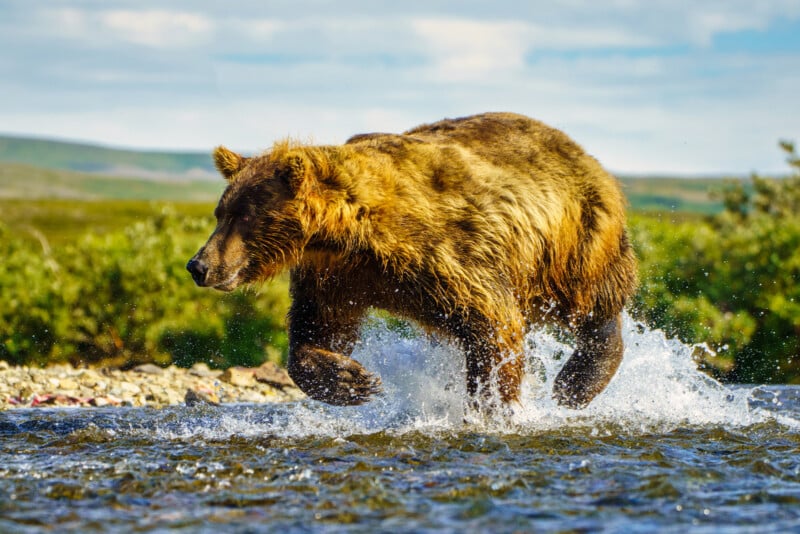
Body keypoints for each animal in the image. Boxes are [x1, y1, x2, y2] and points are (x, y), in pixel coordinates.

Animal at [187, 112, 638, 409]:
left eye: (244, 215)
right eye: (220, 212)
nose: (198, 265)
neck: (350, 235)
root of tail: (583, 153)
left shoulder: (452, 254)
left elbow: (493, 325)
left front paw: (492, 405)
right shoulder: (339, 275)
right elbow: (319, 328)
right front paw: (354, 380)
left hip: (574, 238)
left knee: (594, 304)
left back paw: (575, 384)